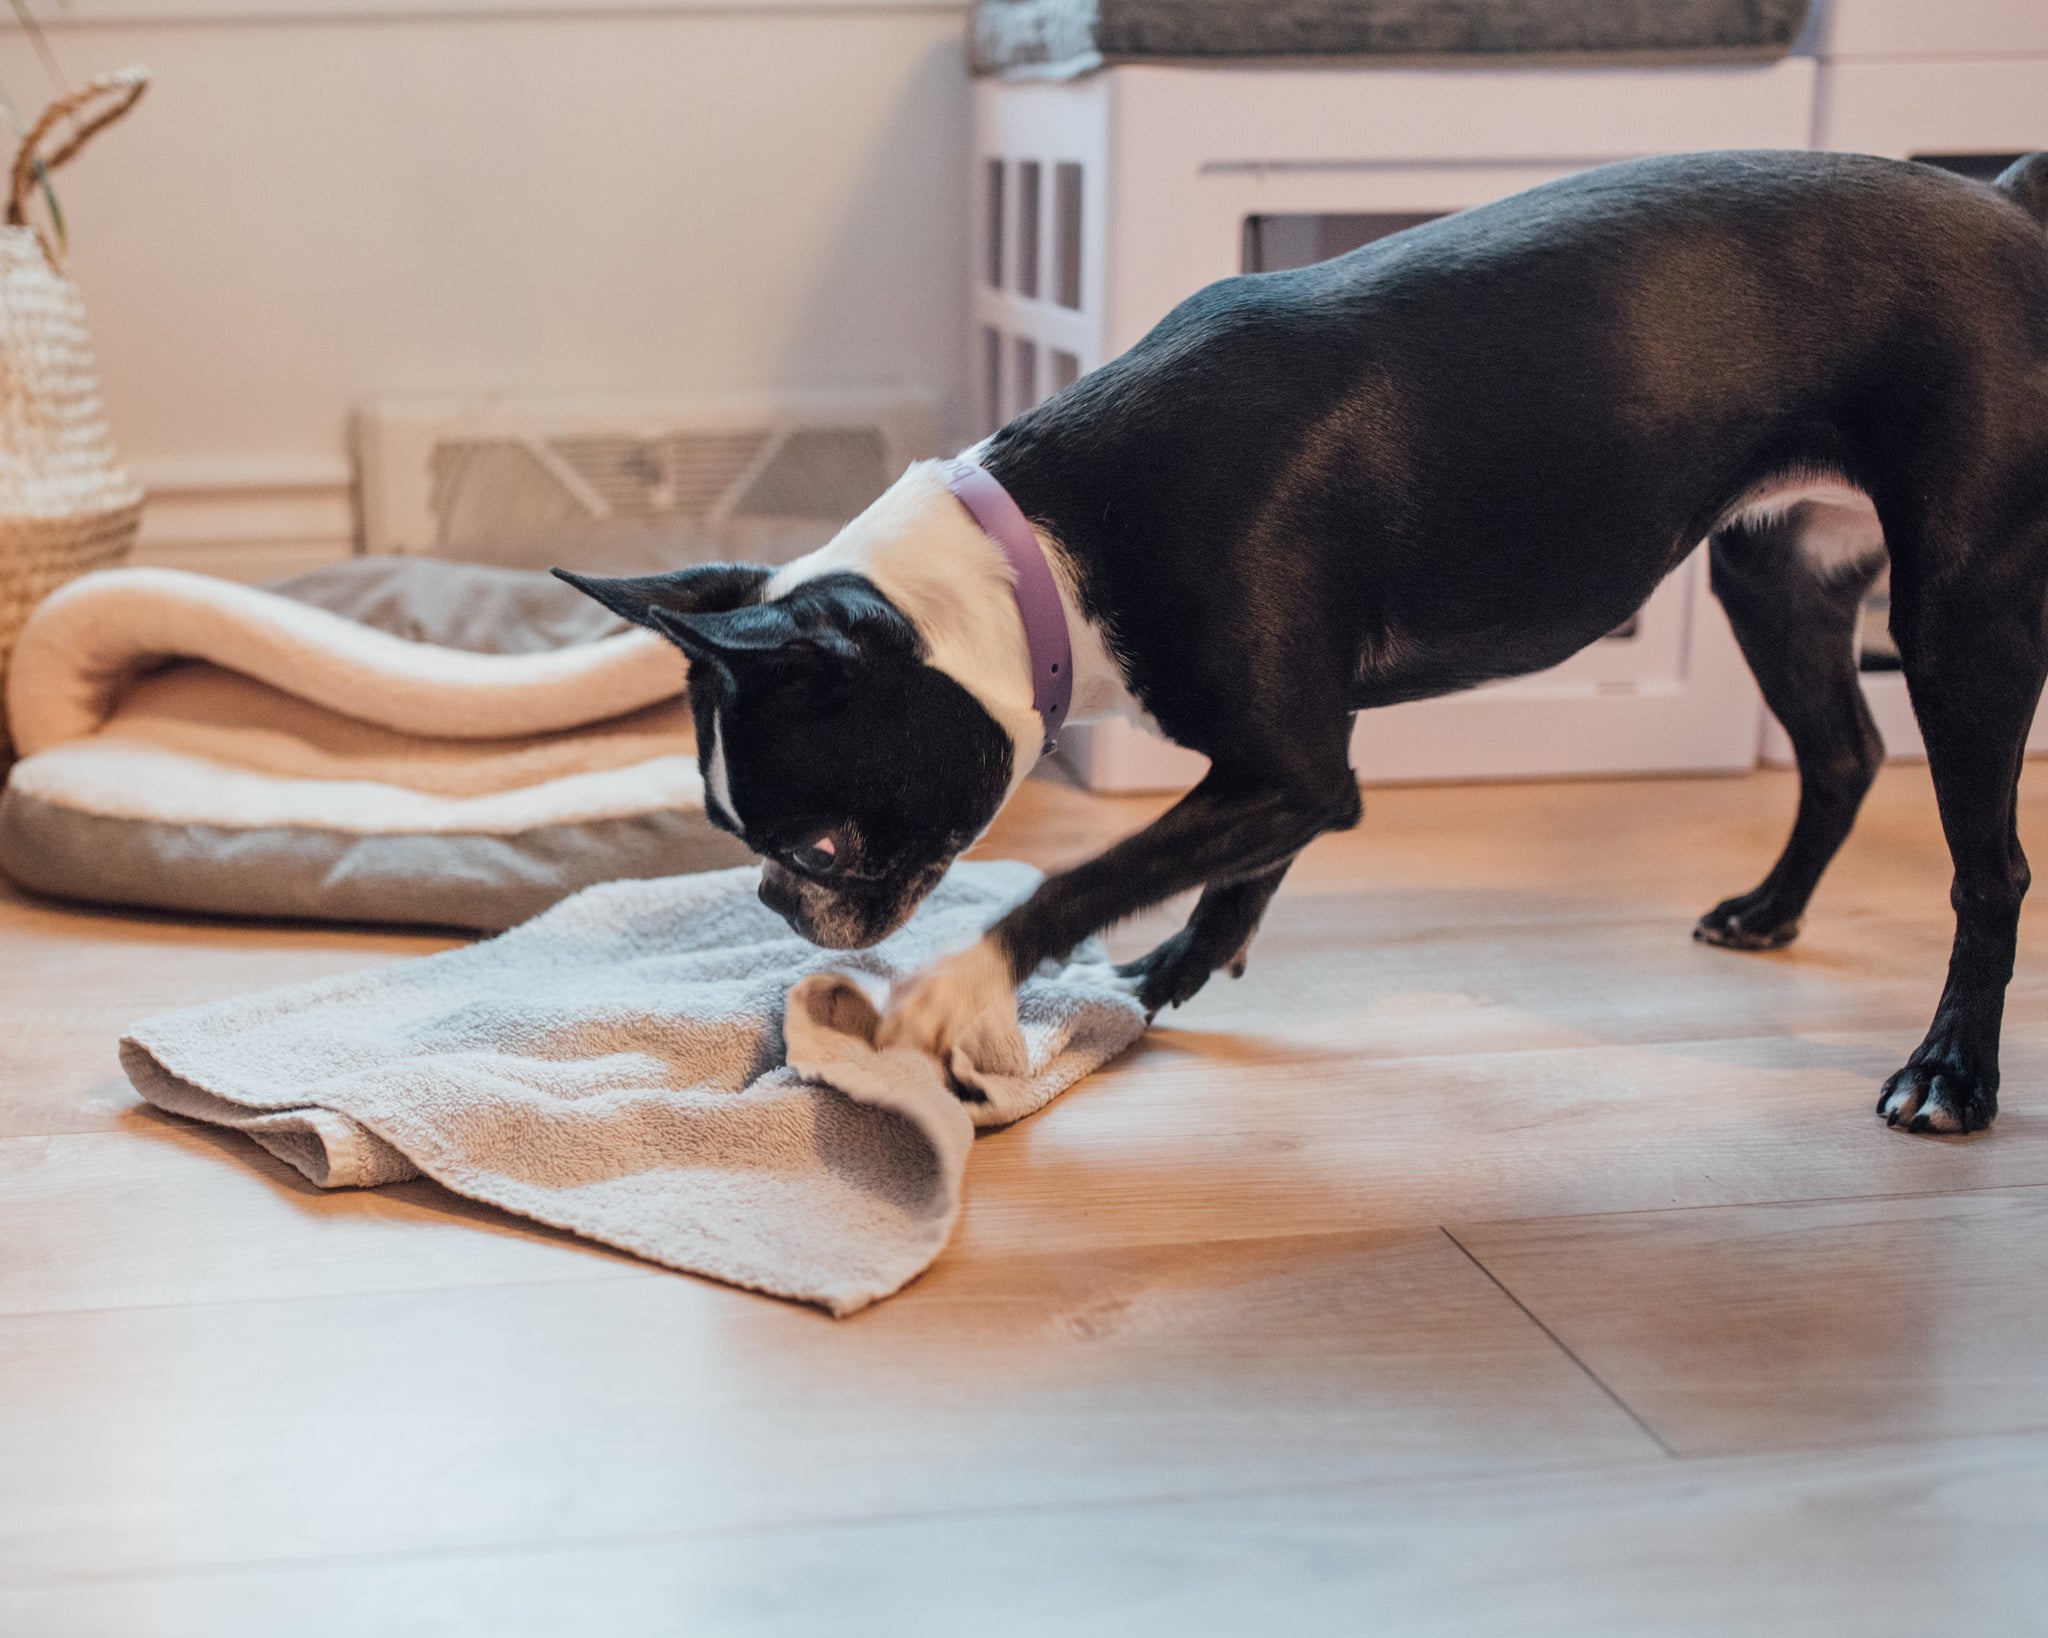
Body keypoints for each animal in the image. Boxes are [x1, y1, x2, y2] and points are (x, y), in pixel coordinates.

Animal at [569, 150, 2048, 1138]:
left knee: (1990, 868)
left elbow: (1103, 869)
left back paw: (1950, 1072)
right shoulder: (1290, 767)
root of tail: (2006, 201)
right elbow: (1233, 877)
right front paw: (1164, 977)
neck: (1036, 549)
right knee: (1842, 754)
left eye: (817, 846)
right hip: (1771, 571)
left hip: (1960, 619)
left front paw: (963, 992)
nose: (780, 905)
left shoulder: (1289, 766)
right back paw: (1772, 909)